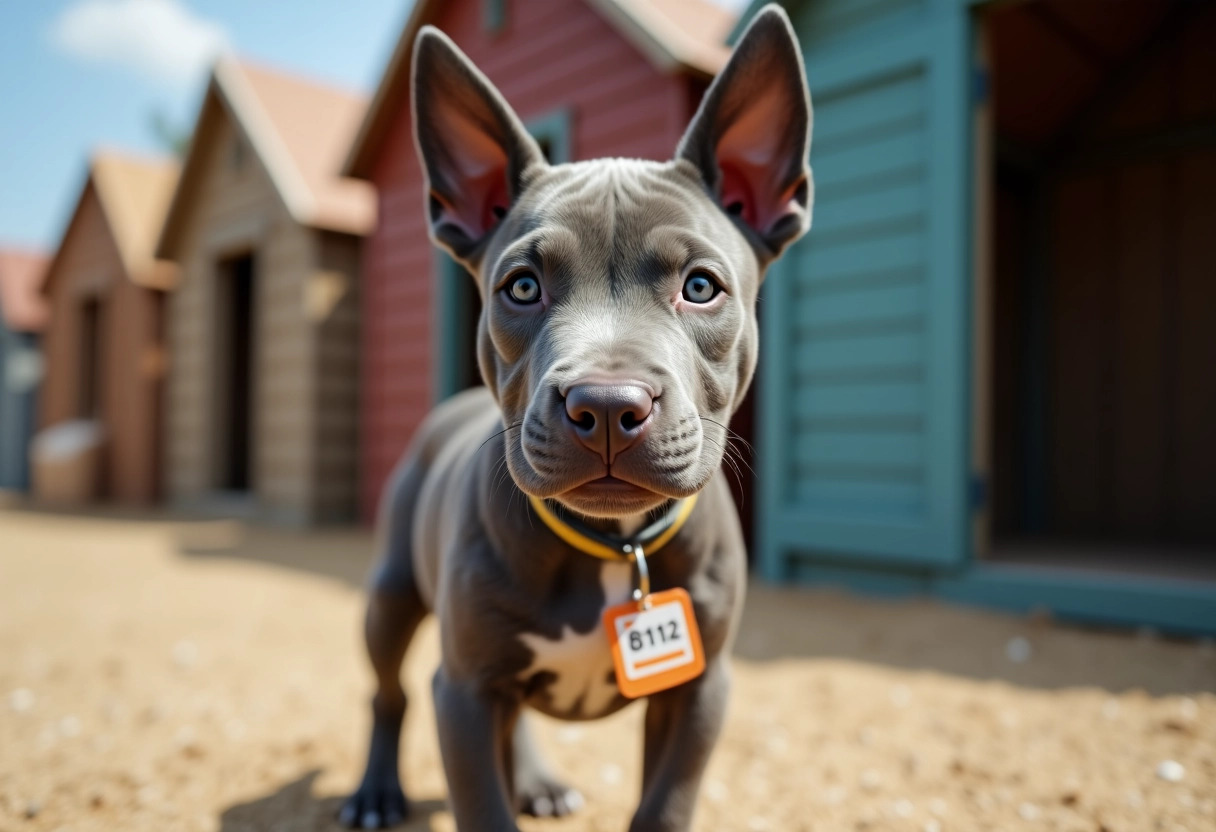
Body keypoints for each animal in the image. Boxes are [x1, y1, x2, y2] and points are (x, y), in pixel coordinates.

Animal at [342, 6, 812, 832]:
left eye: (701, 287)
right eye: (522, 287)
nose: (608, 405)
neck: (614, 547)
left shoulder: (699, 690)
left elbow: (663, 805)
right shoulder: (463, 689)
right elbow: (482, 804)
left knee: (515, 720)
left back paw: (535, 780)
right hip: (391, 598)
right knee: (388, 692)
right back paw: (375, 791)